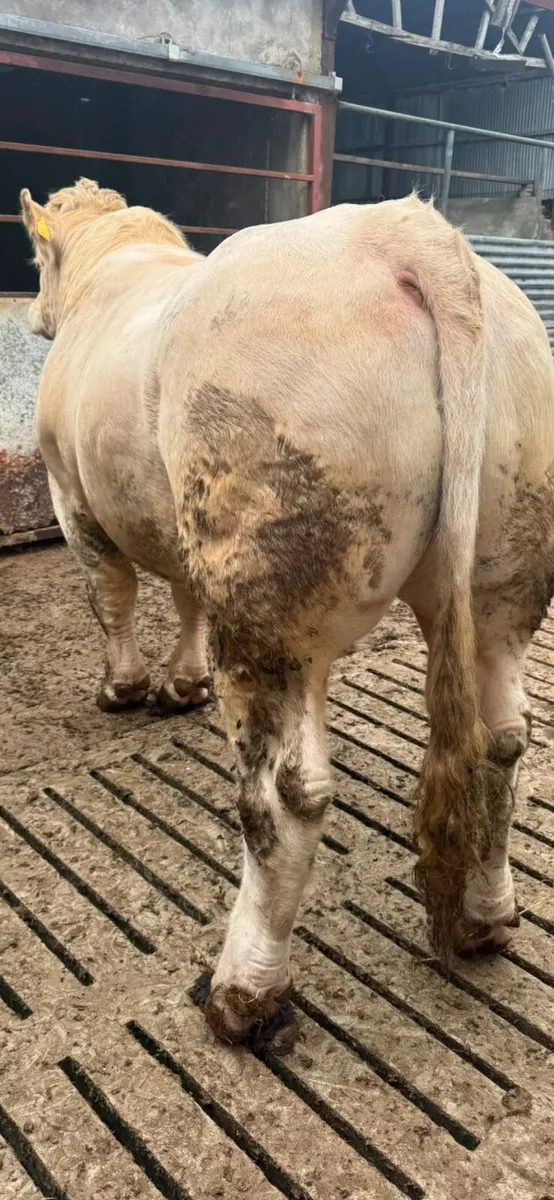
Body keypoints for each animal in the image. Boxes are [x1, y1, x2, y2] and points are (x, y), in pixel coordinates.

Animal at [22, 178, 554, 1046]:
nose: (34, 313)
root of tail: (405, 231)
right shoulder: (180, 529)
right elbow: (181, 597)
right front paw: (182, 684)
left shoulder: (74, 499)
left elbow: (114, 597)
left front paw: (125, 689)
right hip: (506, 567)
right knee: (505, 739)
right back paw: (485, 919)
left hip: (270, 589)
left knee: (286, 793)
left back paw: (245, 992)